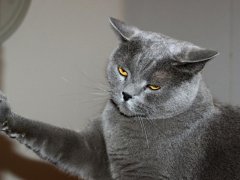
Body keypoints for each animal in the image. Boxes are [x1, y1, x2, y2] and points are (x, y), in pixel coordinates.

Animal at [0, 17, 240, 180]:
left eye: (154, 86)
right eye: (123, 71)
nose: (126, 94)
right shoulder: (94, 150)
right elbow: (53, 136)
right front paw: (6, 114)